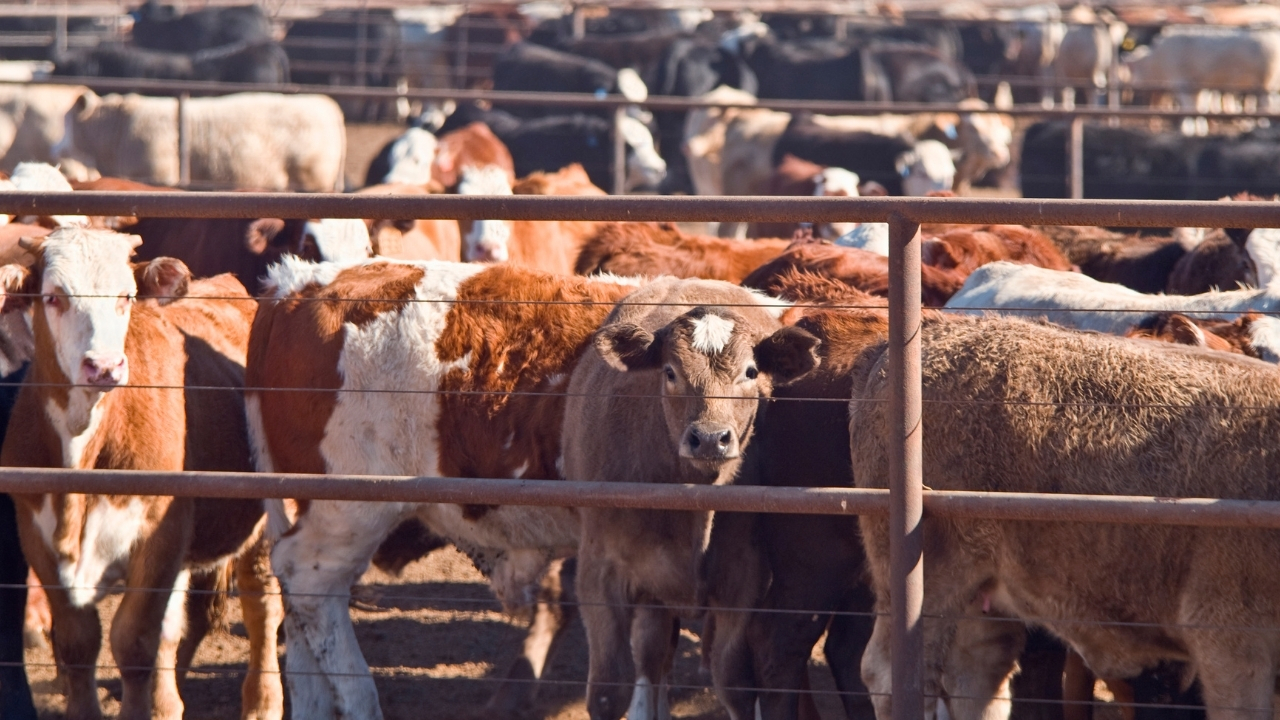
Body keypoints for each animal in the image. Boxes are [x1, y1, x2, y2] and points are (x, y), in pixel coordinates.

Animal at [0, 228, 282, 720]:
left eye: (126, 296)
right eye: (53, 297)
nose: (104, 366)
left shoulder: (158, 534)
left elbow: (132, 644)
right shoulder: (35, 535)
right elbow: (79, 643)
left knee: (261, 606)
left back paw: (263, 704)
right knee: (176, 627)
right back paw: (166, 703)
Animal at [563, 277, 819, 720]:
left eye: (751, 372)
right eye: (670, 372)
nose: (711, 439)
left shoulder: (743, 580)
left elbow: (734, 683)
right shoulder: (598, 571)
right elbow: (609, 691)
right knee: (651, 658)